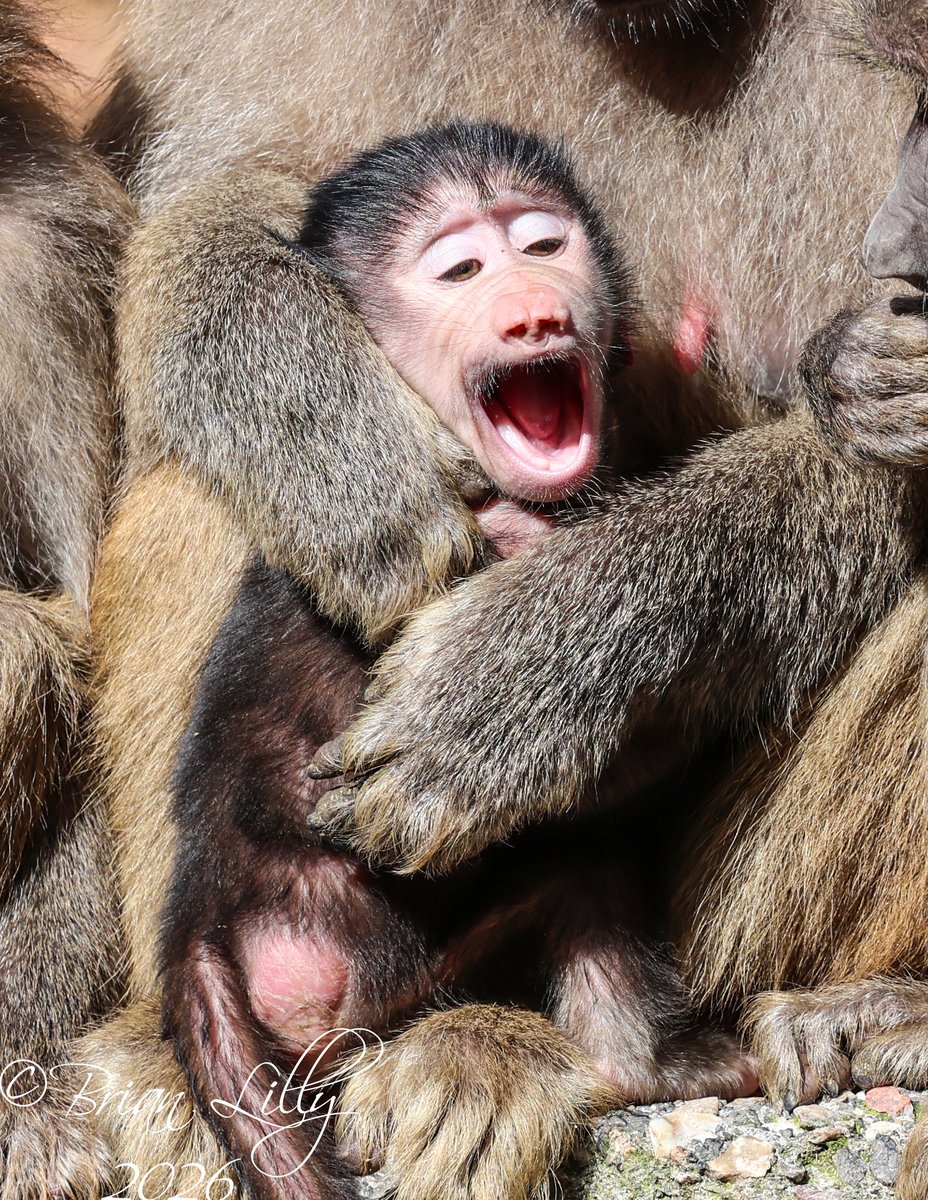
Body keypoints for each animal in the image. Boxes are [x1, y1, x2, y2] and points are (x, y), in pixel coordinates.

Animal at [19, 0, 926, 1198]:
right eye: (457, 270)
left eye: (543, 246)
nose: (529, 310)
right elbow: (213, 209)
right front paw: (320, 424)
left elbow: (871, 436)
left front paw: (513, 683)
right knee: (202, 473)